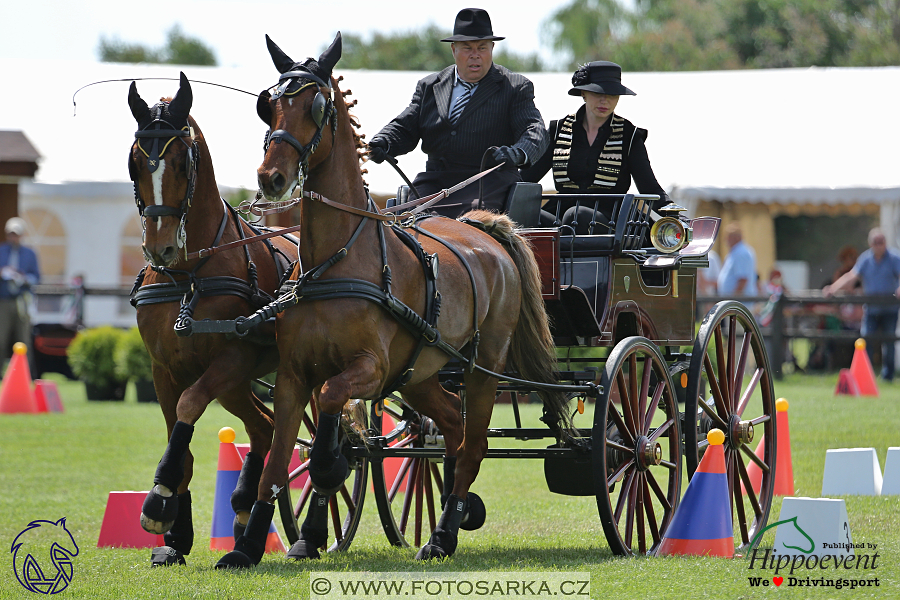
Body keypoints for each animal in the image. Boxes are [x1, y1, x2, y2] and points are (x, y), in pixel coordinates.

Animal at [125, 72, 298, 564]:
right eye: (136, 163)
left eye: (183, 163)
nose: (159, 248)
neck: (189, 274)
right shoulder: (163, 368)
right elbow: (176, 435)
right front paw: (174, 532)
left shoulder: (230, 360)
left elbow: (189, 407)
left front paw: (158, 500)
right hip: (238, 385)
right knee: (264, 427)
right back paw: (243, 516)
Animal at [217, 32, 568, 568]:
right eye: (268, 104)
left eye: (316, 105)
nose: (270, 178)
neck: (335, 260)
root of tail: (481, 226)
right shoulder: (294, 374)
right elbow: (277, 462)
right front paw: (251, 544)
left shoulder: (370, 367)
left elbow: (331, 408)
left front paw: (330, 466)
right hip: (422, 371)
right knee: (451, 429)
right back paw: (450, 519)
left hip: (483, 366)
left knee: (473, 444)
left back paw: (442, 534)